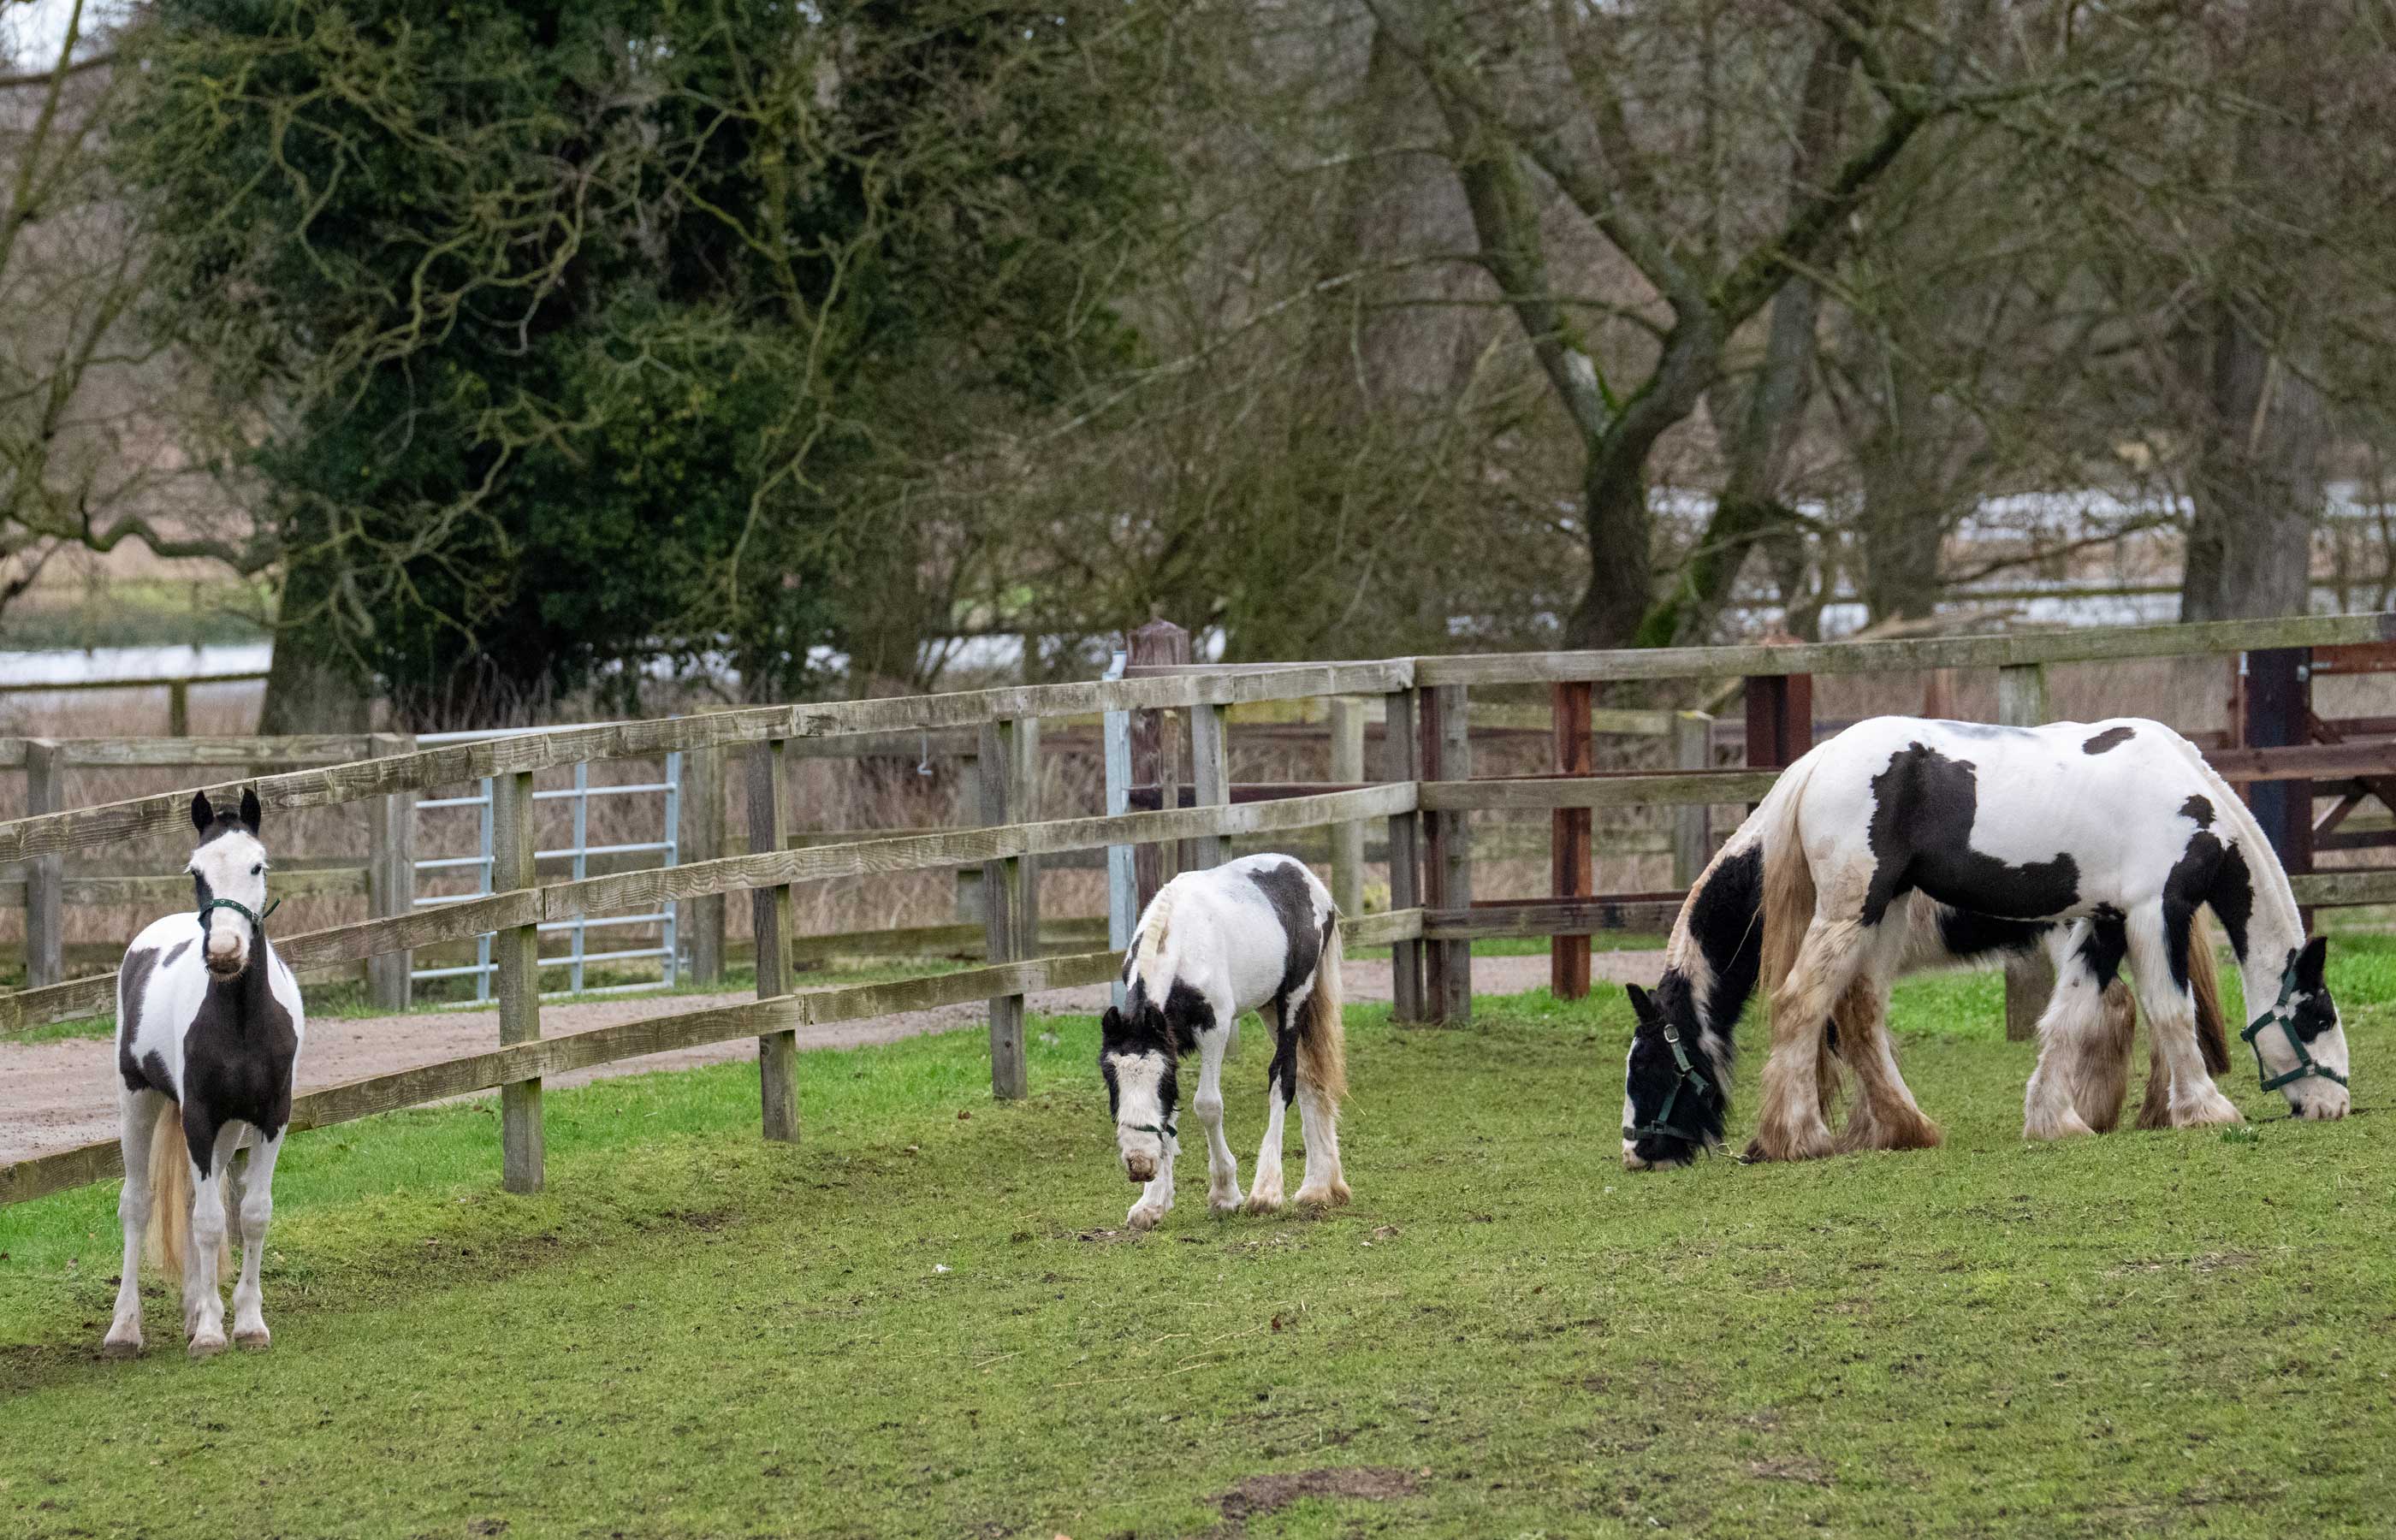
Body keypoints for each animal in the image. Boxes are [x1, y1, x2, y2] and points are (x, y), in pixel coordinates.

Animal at [102, 788, 305, 1358]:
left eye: (258, 865)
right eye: (197, 870)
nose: (224, 953)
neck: (240, 1019)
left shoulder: (269, 1118)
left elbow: (251, 1214)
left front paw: (247, 1323)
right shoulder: (197, 1117)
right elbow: (210, 1223)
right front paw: (214, 1334)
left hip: (227, 1129)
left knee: (196, 1200)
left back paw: (194, 1313)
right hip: (139, 1102)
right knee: (138, 1204)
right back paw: (125, 1329)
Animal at [1098, 853, 1347, 1230]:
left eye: (1159, 1078)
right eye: (1110, 1078)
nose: (1139, 1164)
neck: (1179, 942)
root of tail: (1309, 878)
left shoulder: (1214, 1030)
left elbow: (1208, 1105)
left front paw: (1225, 1194)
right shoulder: (1170, 1040)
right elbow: (1171, 1113)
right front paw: (1152, 1203)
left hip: (1295, 997)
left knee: (1285, 1076)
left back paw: (1267, 1191)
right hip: (1269, 1006)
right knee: (1308, 1077)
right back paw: (1319, 1188)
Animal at [1741, 716, 2347, 1162]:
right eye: (2318, 1016)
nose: (2337, 1104)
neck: (2187, 797)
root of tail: (1818, 759)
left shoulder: (2106, 921)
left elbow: (2071, 1014)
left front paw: (2055, 1119)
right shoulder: (2155, 911)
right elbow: (2173, 1012)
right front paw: (2206, 1109)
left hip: (1884, 914)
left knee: (1861, 1016)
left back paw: (1908, 1128)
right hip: (1852, 911)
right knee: (1800, 1004)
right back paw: (1799, 1137)